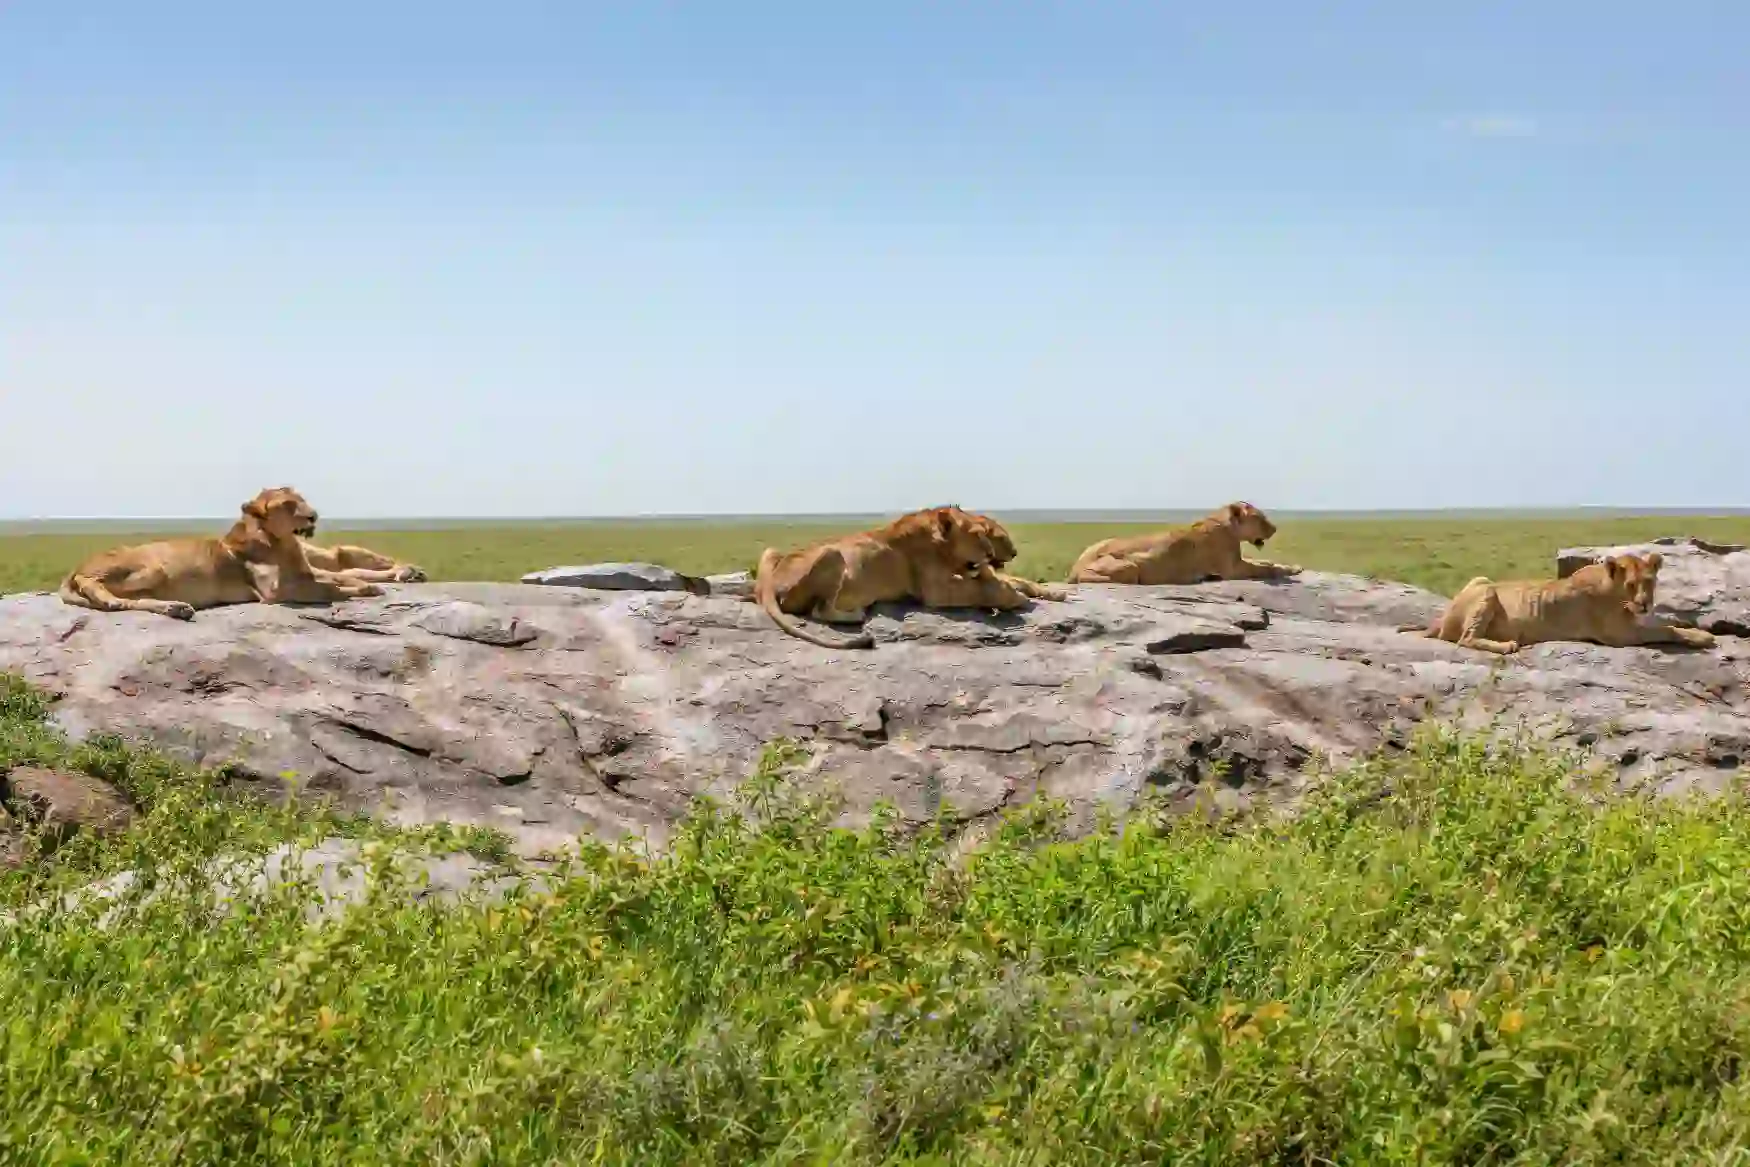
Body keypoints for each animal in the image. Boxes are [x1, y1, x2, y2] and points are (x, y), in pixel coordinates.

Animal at [59, 487, 386, 621]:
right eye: (288, 505)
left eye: (301, 499)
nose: (313, 516)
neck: (284, 543)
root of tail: (75, 567)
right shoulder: (275, 591)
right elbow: (328, 587)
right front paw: (356, 591)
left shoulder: (308, 572)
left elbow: (339, 576)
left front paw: (369, 586)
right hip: (151, 566)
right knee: (92, 583)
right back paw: (108, 599)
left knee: (133, 601)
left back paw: (176, 608)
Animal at [755, 505, 1066, 648]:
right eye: (979, 535)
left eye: (987, 535)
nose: (997, 553)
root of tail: (768, 585)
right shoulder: (936, 590)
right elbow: (979, 590)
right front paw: (1014, 598)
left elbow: (1014, 580)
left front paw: (1052, 592)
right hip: (832, 554)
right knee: (819, 610)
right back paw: (856, 615)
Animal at [1068, 502, 1301, 585]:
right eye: (1260, 518)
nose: (1275, 529)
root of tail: (1075, 567)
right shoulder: (1232, 569)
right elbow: (1262, 569)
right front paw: (1287, 570)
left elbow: (1263, 561)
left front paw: (1291, 566)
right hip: (1130, 565)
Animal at [1400, 551, 1715, 655]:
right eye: (1631, 585)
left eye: (1649, 582)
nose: (1644, 604)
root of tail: (1439, 620)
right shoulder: (1620, 635)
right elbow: (1665, 630)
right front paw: (1702, 636)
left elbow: (1665, 622)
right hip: (1487, 591)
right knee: (1465, 638)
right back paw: (1507, 646)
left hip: (1481, 579)